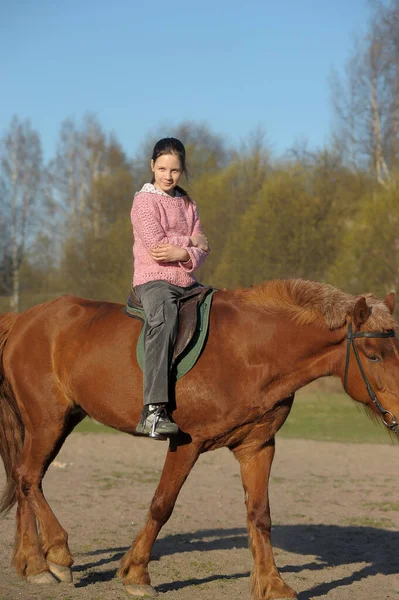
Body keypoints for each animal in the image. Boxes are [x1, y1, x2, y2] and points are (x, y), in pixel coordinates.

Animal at [0, 278, 398, 596]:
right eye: (373, 356)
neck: (250, 352)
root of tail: (24, 319)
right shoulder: (186, 443)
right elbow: (162, 505)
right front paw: (136, 574)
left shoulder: (257, 447)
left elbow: (259, 515)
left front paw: (273, 584)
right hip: (47, 421)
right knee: (29, 478)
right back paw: (57, 554)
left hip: (59, 421)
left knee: (25, 480)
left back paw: (33, 564)